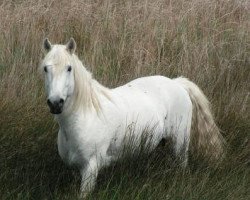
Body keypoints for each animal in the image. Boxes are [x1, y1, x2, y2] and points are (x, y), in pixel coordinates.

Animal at [40, 38, 224, 196]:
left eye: (69, 68)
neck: (85, 117)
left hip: (180, 144)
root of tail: (177, 83)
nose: (55, 103)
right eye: (45, 69)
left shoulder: (90, 168)